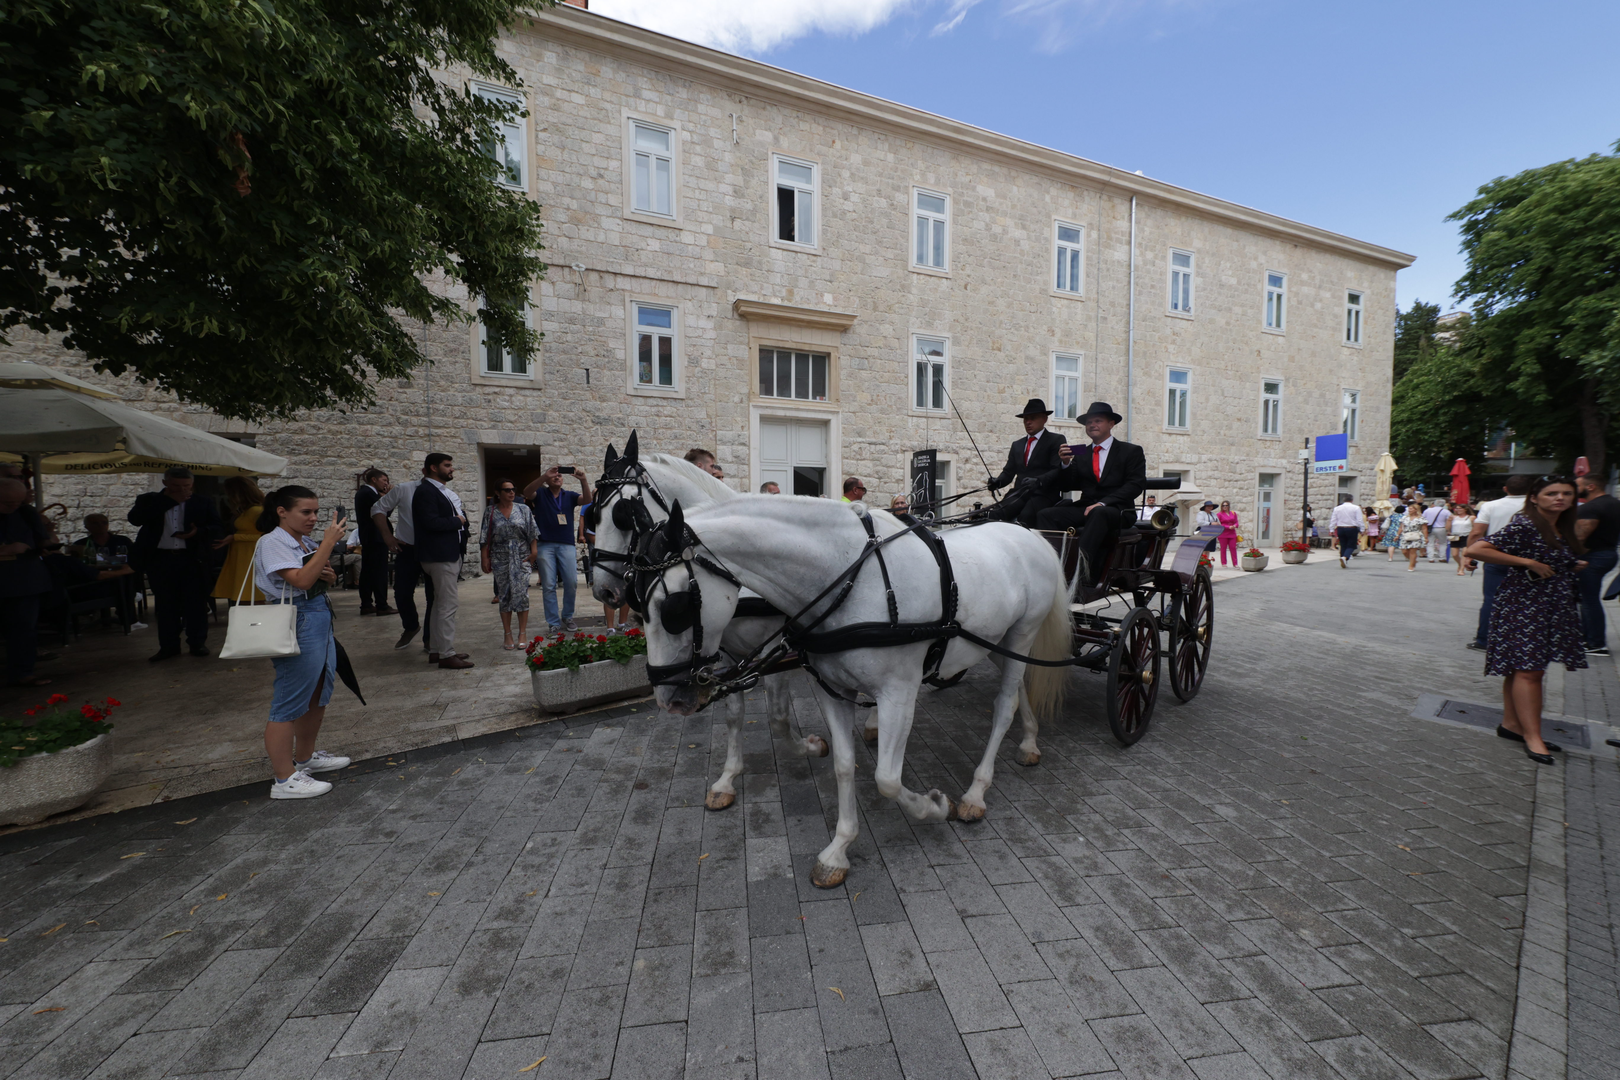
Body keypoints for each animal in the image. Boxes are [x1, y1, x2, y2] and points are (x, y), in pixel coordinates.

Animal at [592, 433, 800, 806]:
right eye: (591, 513)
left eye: (624, 513)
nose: (603, 589)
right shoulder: (723, 652)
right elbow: (733, 714)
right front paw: (728, 777)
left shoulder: (776, 646)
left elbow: (778, 716)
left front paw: (811, 747)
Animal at [635, 495, 1075, 893]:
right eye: (636, 604)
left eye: (673, 608)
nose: (668, 700)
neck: (852, 580)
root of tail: (1028, 533)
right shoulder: (834, 690)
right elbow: (845, 766)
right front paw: (838, 851)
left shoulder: (899, 694)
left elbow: (887, 779)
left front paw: (935, 807)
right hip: (996, 642)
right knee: (1018, 689)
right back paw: (1030, 742)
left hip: (1022, 632)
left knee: (1004, 706)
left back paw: (976, 792)